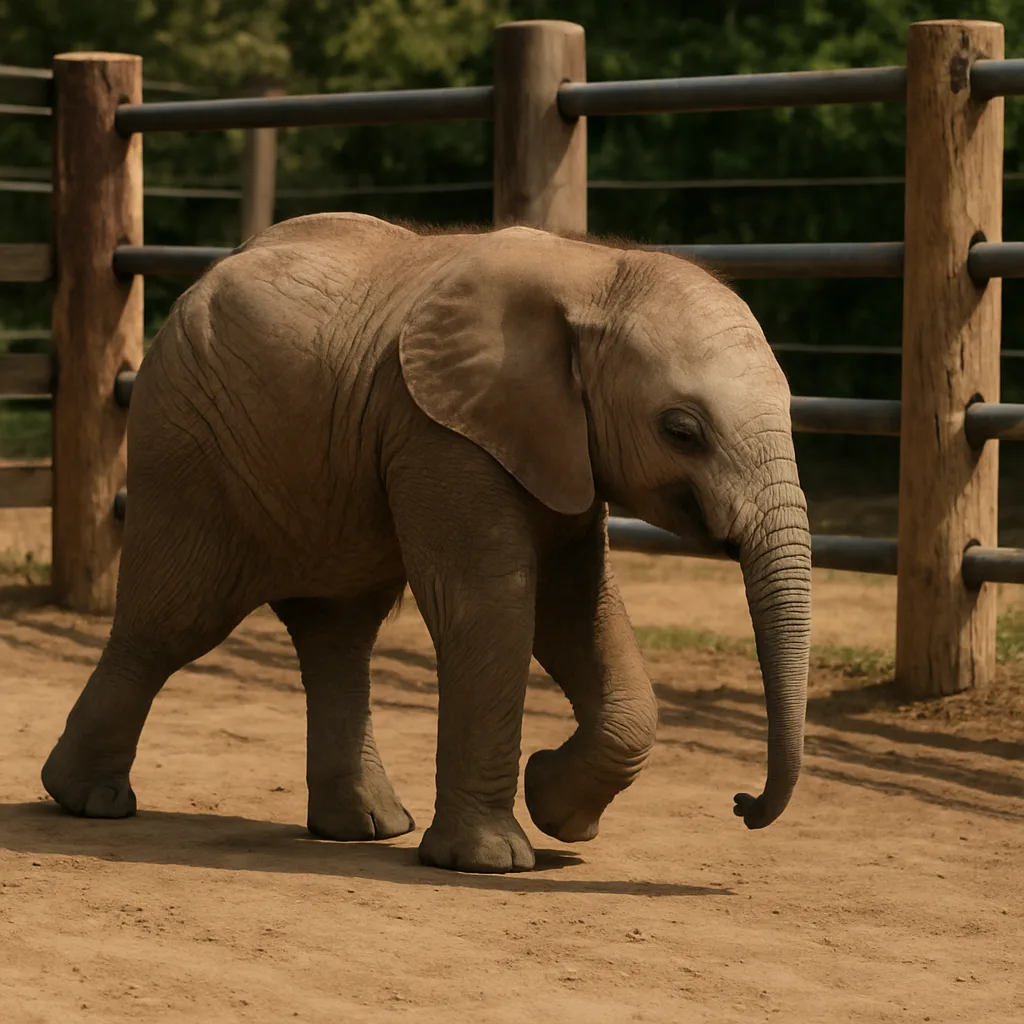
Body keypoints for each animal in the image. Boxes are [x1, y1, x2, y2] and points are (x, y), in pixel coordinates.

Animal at [41, 212, 811, 874]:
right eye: (681, 431)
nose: (741, 804)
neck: (596, 270)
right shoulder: (440, 429)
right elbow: (493, 604)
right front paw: (492, 861)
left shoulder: (555, 441)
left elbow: (576, 607)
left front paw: (555, 808)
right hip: (186, 445)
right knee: (173, 621)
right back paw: (87, 802)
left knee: (339, 635)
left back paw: (366, 827)